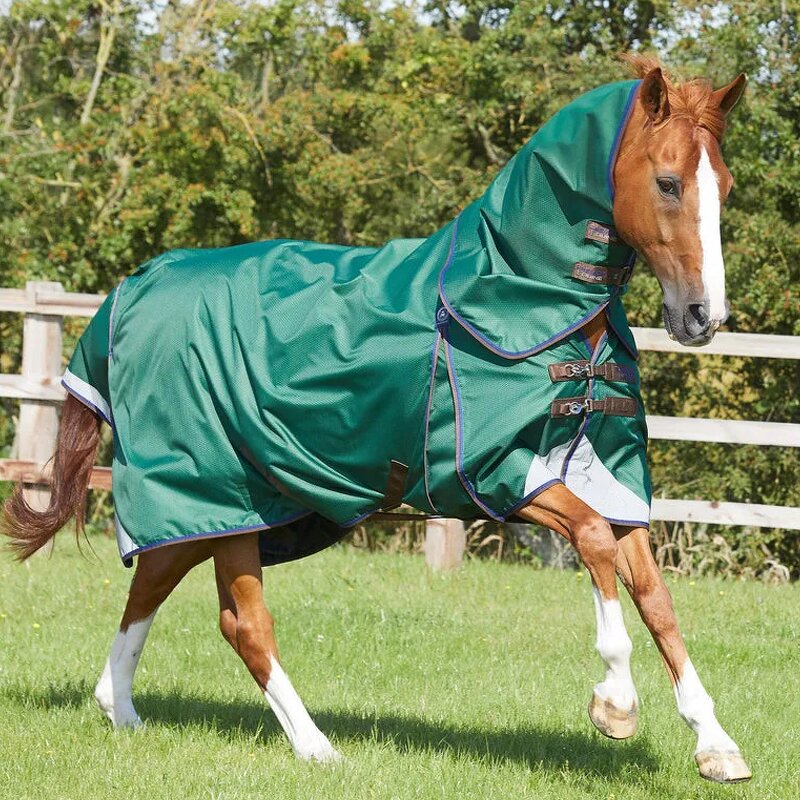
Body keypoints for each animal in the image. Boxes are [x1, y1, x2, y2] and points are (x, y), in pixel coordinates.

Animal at [3, 57, 751, 783]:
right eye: (667, 182)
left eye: (725, 185)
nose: (702, 316)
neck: (524, 305)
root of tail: (133, 288)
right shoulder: (500, 477)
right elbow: (594, 543)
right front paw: (615, 703)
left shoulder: (607, 478)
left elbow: (655, 597)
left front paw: (716, 745)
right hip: (219, 490)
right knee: (243, 623)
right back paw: (316, 748)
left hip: (232, 503)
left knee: (156, 579)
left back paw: (121, 711)